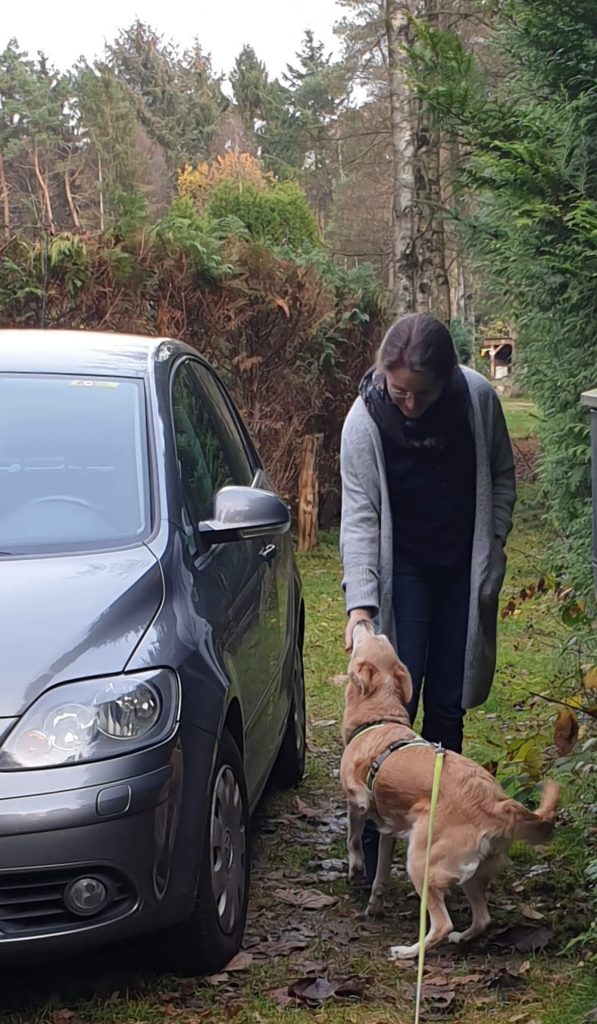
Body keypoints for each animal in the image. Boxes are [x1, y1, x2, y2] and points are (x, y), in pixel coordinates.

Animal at [342, 618, 561, 962]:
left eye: (372, 638)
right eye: (383, 637)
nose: (364, 619)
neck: (379, 718)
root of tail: (497, 805)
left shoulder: (357, 801)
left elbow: (353, 838)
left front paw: (355, 869)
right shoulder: (389, 828)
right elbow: (381, 873)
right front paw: (375, 902)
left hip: (421, 860)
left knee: (441, 923)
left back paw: (409, 951)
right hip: (472, 871)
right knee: (483, 918)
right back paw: (462, 937)